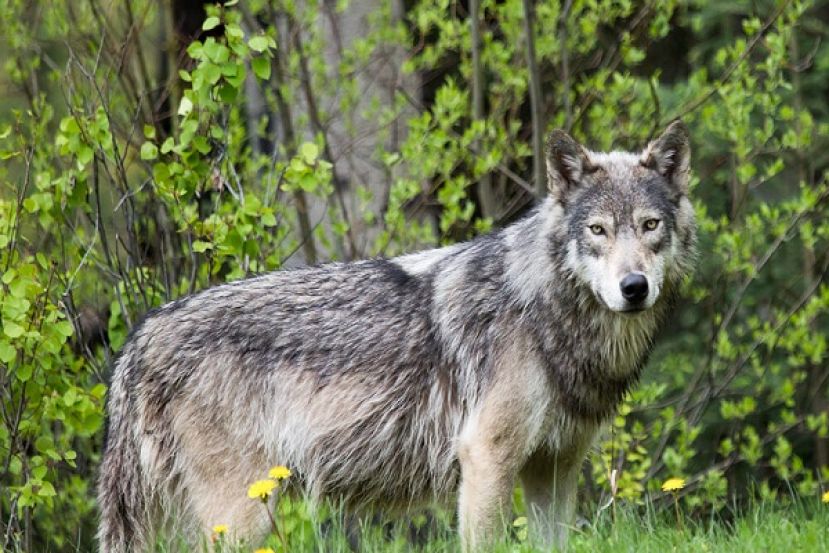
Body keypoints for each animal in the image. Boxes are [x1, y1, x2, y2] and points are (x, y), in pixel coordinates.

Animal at [97, 120, 696, 551]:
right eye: (598, 230)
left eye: (649, 226)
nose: (634, 287)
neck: (546, 310)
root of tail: (141, 337)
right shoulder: (486, 458)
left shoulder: (555, 467)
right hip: (241, 516)